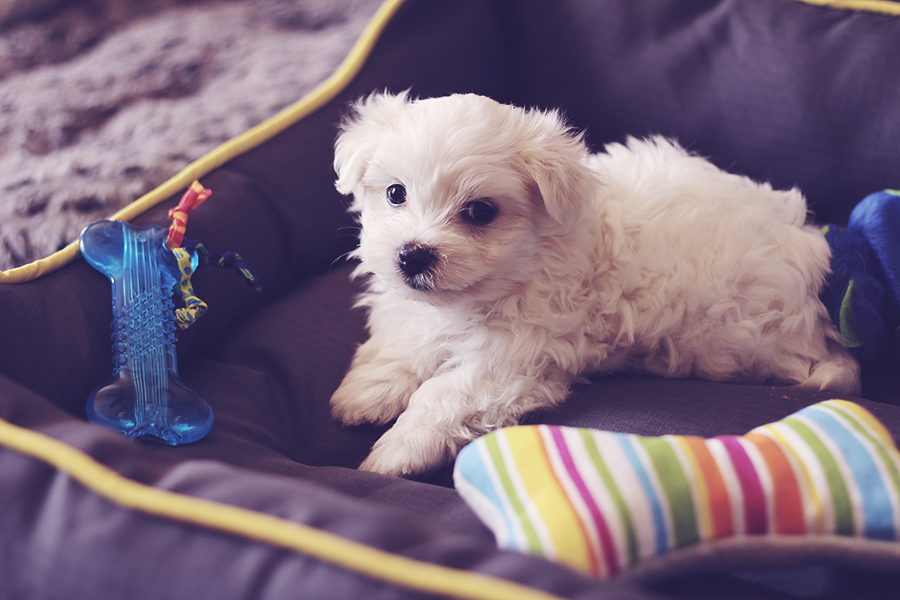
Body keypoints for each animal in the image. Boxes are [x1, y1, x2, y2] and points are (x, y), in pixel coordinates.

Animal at [328, 92, 856, 478]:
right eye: (395, 193)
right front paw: (366, 393)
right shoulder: (417, 310)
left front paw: (396, 451)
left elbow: (444, 394)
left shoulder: (516, 357)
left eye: (479, 211)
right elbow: (401, 339)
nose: (413, 254)